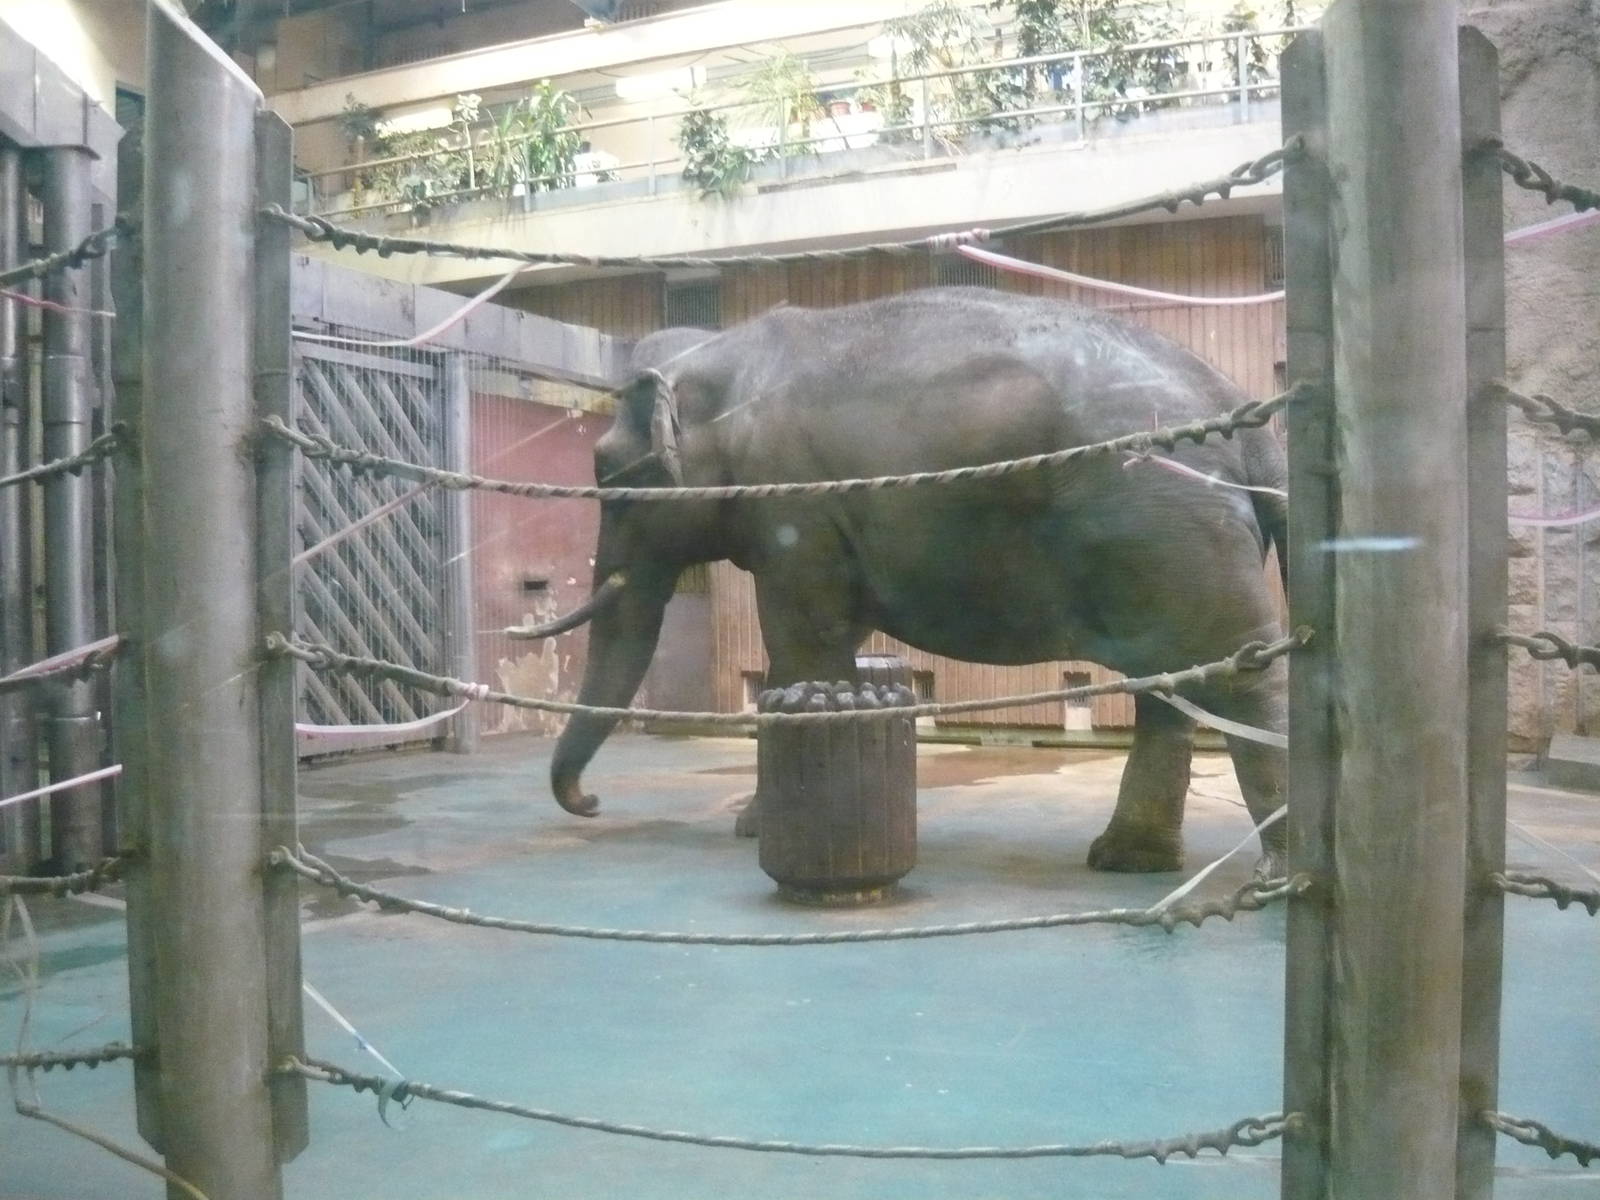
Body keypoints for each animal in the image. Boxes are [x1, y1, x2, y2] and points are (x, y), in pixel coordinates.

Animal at [541, 287, 1289, 875]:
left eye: (609, 477)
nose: (591, 803)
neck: (726, 353)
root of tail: (1245, 412)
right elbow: (832, 636)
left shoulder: (794, 502)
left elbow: (802, 637)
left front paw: (755, 826)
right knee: (1168, 680)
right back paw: (1127, 860)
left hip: (1163, 520)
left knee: (1237, 675)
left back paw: (1273, 869)